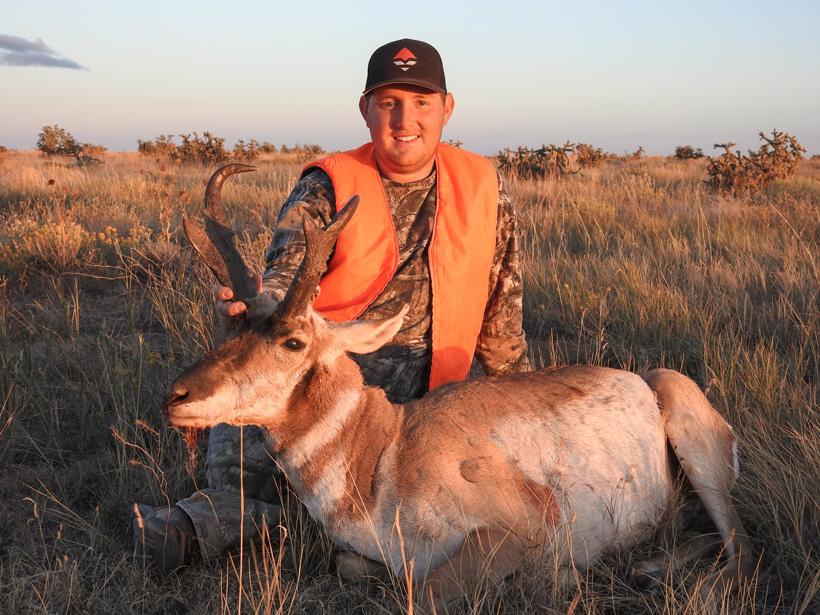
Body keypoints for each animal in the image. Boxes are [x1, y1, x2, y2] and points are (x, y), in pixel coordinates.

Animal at [166, 164, 752, 610]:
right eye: (231, 327)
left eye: (292, 341)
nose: (178, 397)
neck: (383, 451)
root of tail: (638, 377)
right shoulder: (365, 554)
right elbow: (353, 566)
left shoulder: (522, 528)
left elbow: (421, 592)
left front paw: (557, 578)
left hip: (690, 435)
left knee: (740, 547)